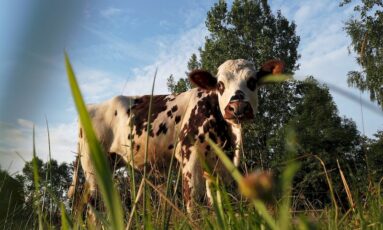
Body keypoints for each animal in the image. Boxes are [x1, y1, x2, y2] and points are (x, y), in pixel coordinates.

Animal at [68, 58, 284, 213]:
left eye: (252, 82)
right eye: (220, 85)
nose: (237, 107)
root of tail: (91, 106)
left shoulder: (220, 167)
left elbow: (219, 204)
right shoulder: (190, 156)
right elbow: (194, 203)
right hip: (93, 166)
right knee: (94, 204)